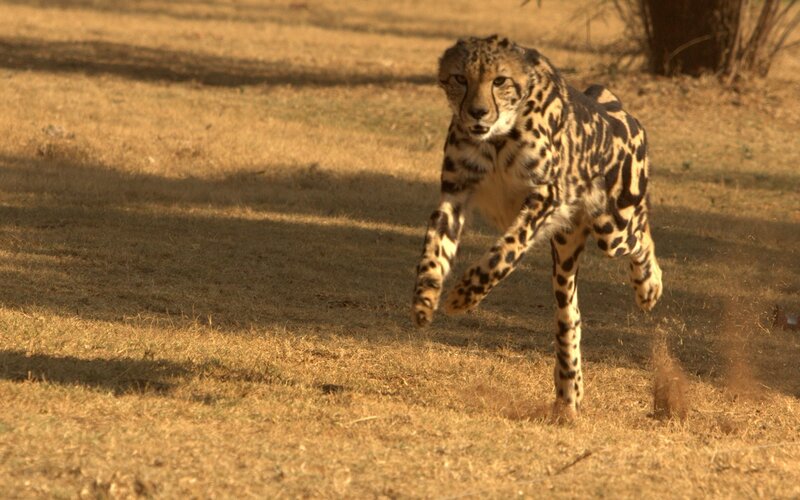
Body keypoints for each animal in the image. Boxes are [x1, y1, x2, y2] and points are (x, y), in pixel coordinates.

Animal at [411, 35, 663, 416]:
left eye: (499, 80)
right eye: (460, 78)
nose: (477, 112)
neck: (498, 135)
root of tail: (614, 104)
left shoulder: (547, 196)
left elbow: (504, 252)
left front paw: (463, 296)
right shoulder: (454, 196)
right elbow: (432, 252)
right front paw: (425, 299)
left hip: (613, 227)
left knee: (642, 235)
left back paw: (649, 286)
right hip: (567, 253)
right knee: (569, 316)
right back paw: (569, 392)